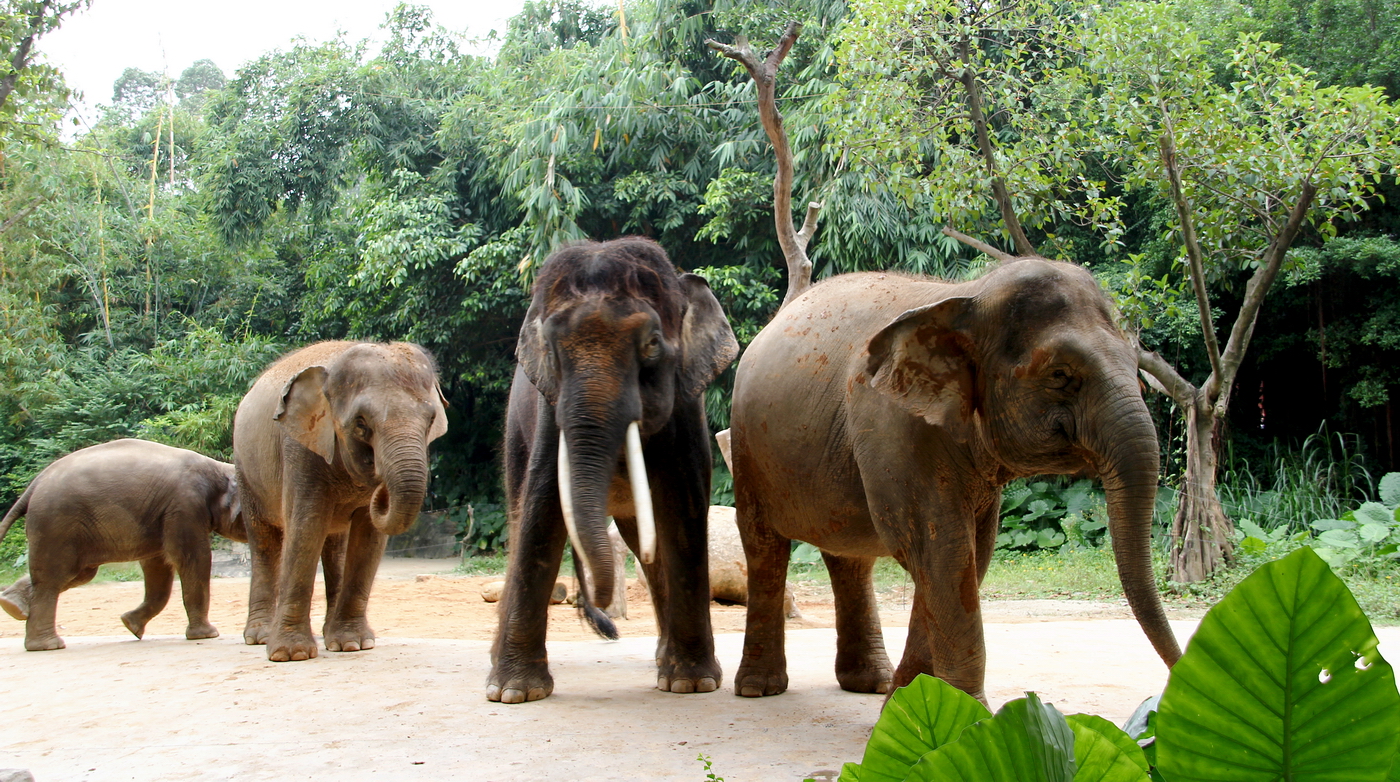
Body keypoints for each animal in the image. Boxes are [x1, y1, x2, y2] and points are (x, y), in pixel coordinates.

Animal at [0, 436, 245, 651]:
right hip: (56, 522)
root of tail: (35, 484)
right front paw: (207, 635)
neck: (219, 469)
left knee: (75, 574)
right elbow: (193, 560)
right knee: (55, 577)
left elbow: (157, 568)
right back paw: (47, 644)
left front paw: (131, 626)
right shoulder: (185, 507)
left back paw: (13, 606)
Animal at [232, 341, 445, 660]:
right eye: (360, 424)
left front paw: (354, 644)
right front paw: (291, 654)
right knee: (264, 541)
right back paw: (259, 637)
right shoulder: (300, 448)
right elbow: (306, 525)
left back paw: (330, 637)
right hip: (245, 469)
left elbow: (368, 538)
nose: (379, 487)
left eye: (431, 420)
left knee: (335, 545)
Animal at [487, 237, 739, 705]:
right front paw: (514, 693)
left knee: (646, 542)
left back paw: (665, 664)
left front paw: (692, 684)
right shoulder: (550, 413)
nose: (608, 624)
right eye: (552, 351)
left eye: (653, 344)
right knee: (517, 516)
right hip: (514, 431)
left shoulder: (686, 410)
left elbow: (683, 514)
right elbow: (540, 514)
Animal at [733, 261, 1181, 705]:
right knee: (764, 548)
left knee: (850, 558)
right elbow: (941, 550)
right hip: (748, 453)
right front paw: (966, 716)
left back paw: (871, 683)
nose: (1176, 672)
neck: (969, 295)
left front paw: (911, 700)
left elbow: (969, 554)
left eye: (1137, 366)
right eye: (1059, 374)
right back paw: (759, 689)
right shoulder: (894, 424)